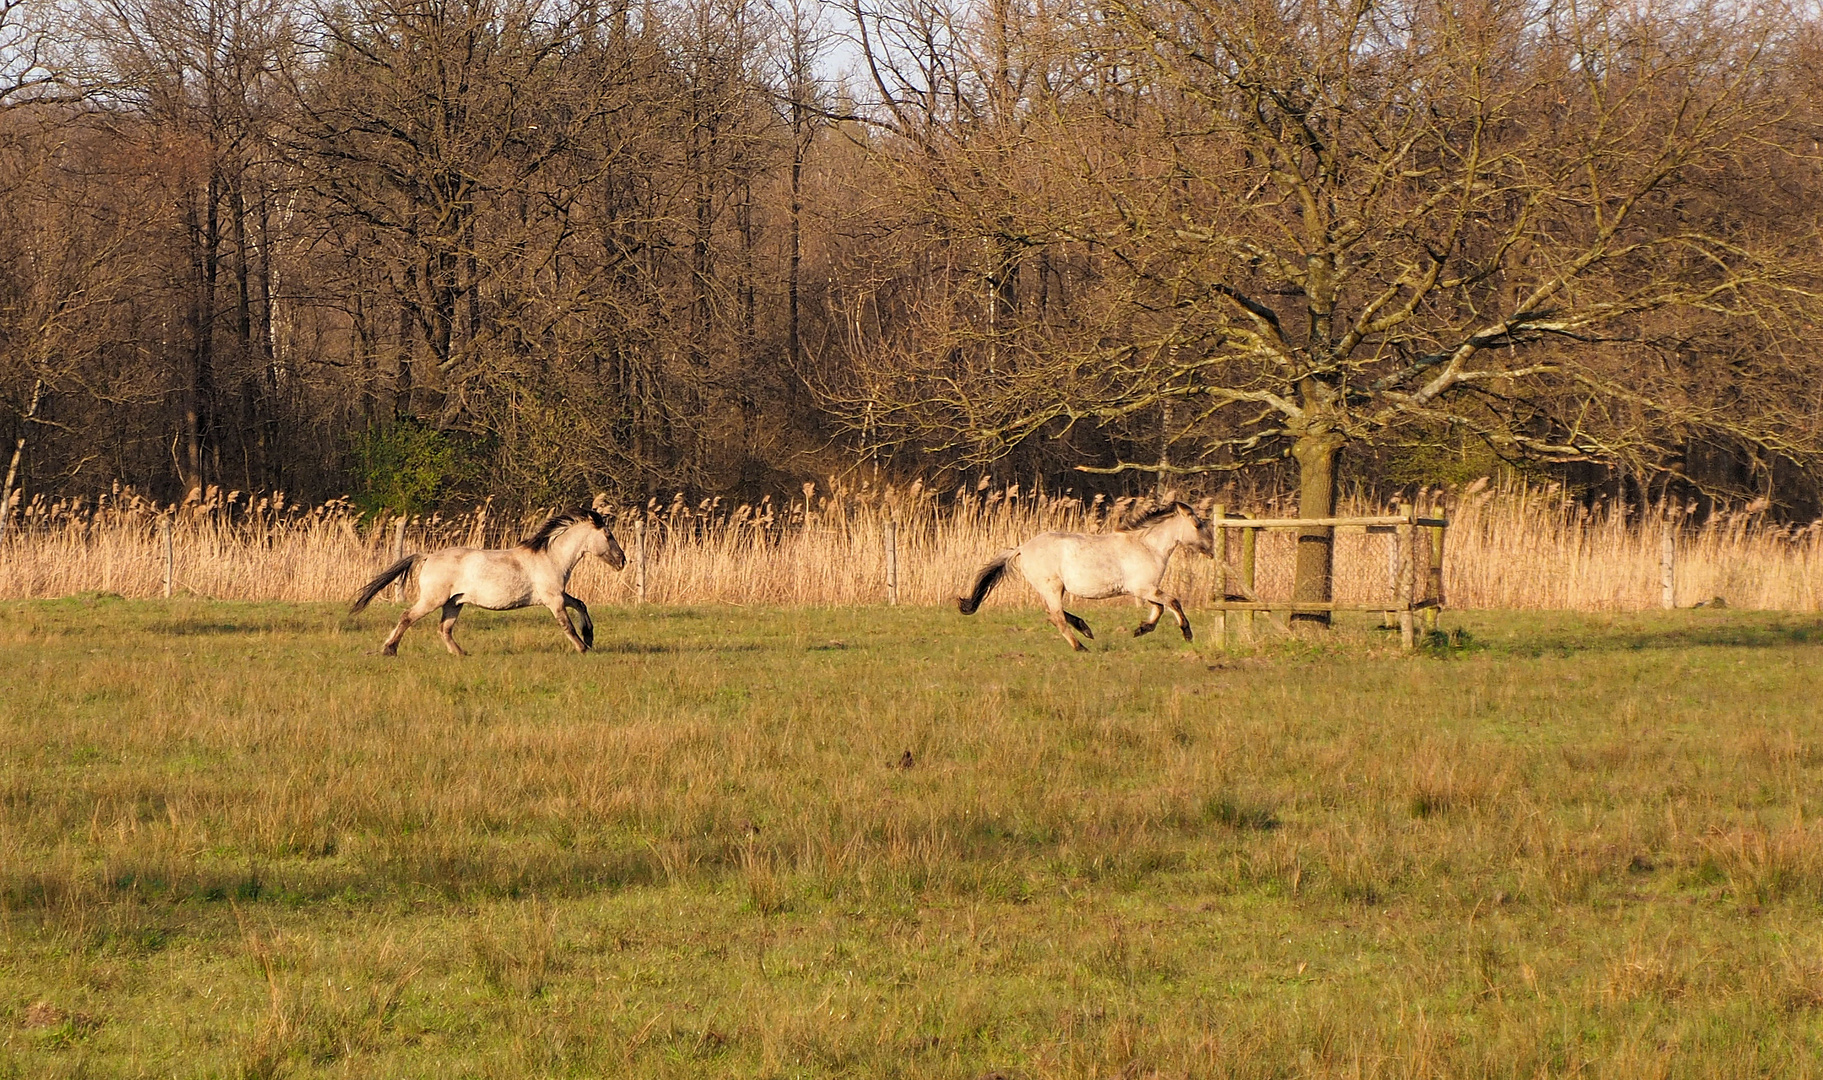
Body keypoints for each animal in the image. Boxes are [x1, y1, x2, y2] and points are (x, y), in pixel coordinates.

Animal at [348, 507, 627, 656]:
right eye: (608, 535)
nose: (623, 561)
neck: (551, 557)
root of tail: (426, 556)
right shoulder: (553, 599)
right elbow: (566, 625)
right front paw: (583, 647)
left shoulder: (558, 595)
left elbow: (581, 604)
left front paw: (589, 637)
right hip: (433, 599)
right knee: (407, 617)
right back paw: (389, 649)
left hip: (454, 603)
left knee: (444, 629)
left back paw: (461, 654)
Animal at [955, 499, 1210, 649]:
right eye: (1198, 525)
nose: (1210, 549)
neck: (1147, 546)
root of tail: (1021, 548)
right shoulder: (1144, 588)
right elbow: (1173, 602)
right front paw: (1187, 633)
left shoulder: (1145, 589)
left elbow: (1159, 609)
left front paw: (1141, 629)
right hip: (1052, 587)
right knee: (1056, 616)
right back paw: (1081, 646)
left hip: (1053, 589)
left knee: (1052, 613)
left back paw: (1085, 629)